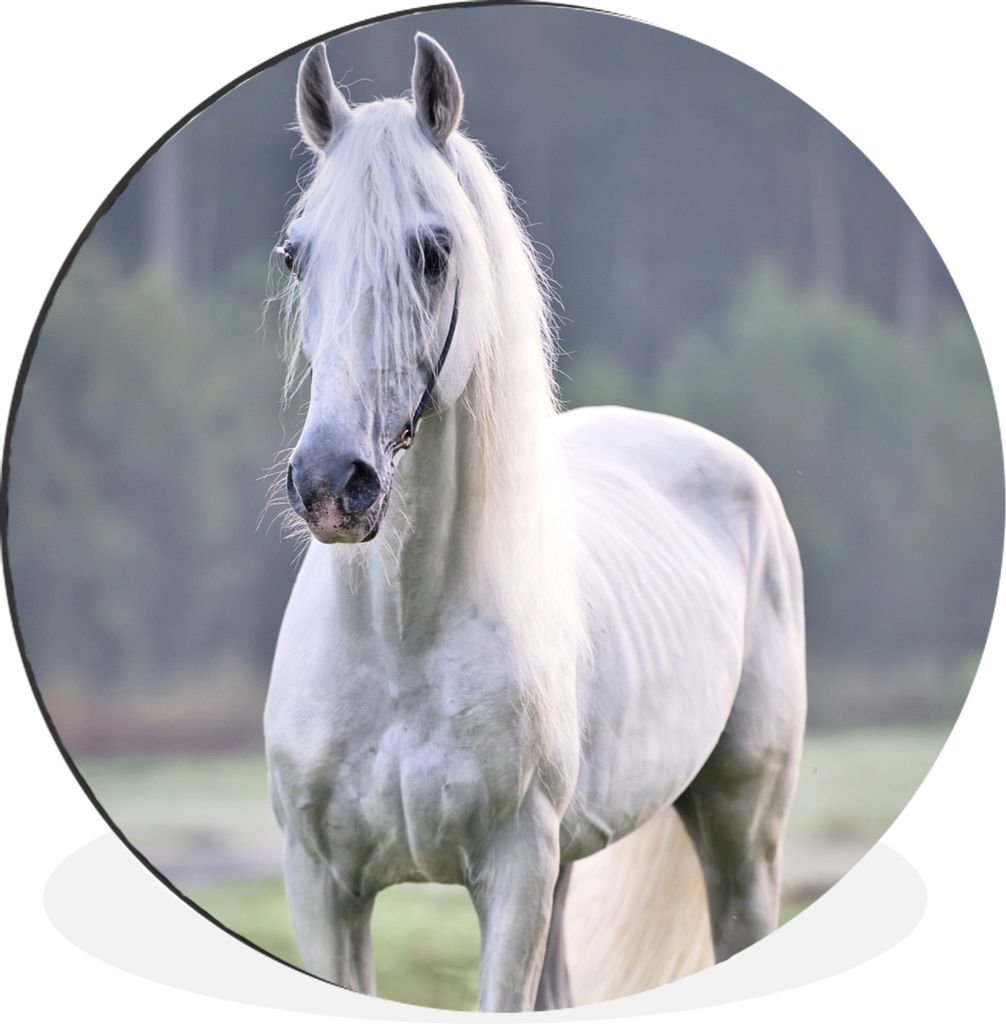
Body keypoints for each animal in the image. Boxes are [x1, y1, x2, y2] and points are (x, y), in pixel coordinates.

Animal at [264, 33, 806, 1012]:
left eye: (434, 251)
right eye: (296, 255)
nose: (332, 484)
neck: (401, 640)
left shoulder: (513, 875)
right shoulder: (321, 886)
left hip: (739, 842)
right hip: (569, 863)